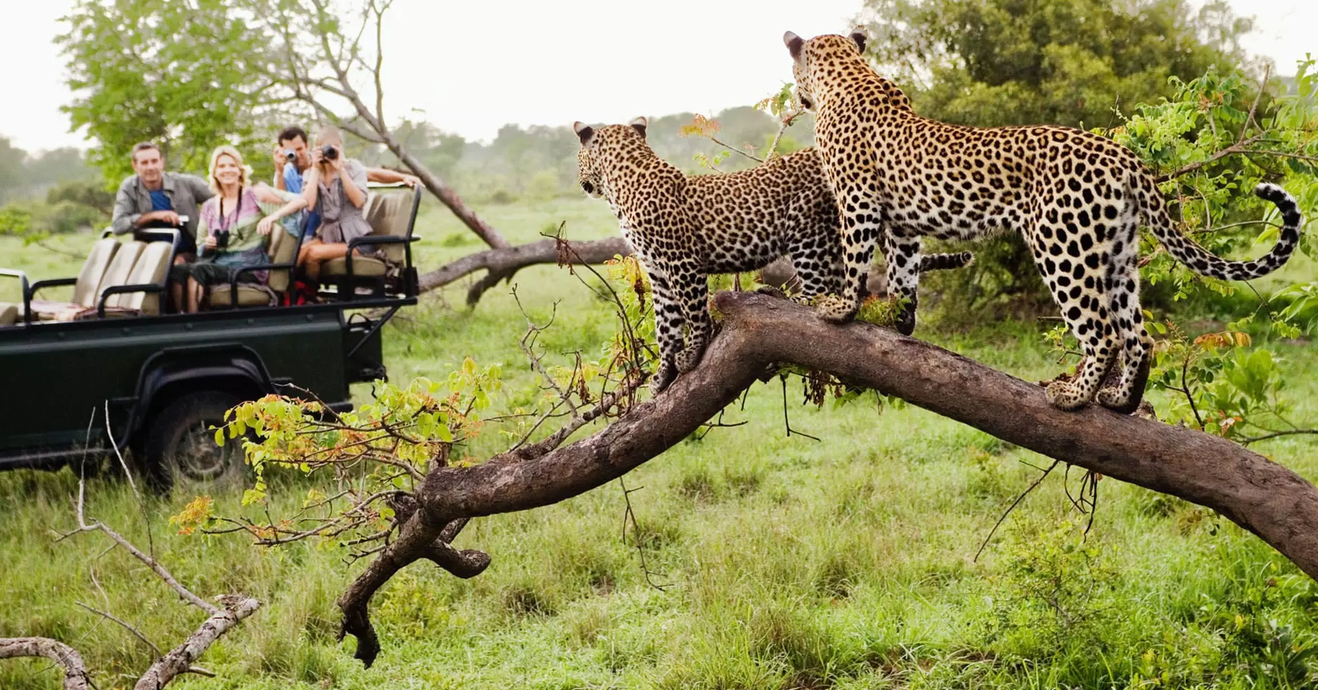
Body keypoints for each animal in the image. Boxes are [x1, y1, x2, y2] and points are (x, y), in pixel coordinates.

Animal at [574, 116, 974, 393]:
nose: (581, 183)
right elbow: (666, 327)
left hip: (807, 229)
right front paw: (662, 374)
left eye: (577, 156)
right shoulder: (657, 273)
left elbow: (694, 313)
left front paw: (692, 353)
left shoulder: (682, 264)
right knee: (843, 283)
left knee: (820, 289)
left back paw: (782, 296)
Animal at [780, 28, 1304, 413]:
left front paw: (840, 309)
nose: (798, 98)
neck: (848, 74)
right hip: (1116, 255)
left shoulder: (857, 201)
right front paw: (899, 321)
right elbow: (903, 273)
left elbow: (855, 259)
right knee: (1138, 335)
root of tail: (1125, 157)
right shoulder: (904, 225)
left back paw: (1073, 397)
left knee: (1104, 333)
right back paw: (1119, 400)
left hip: (1063, 247)